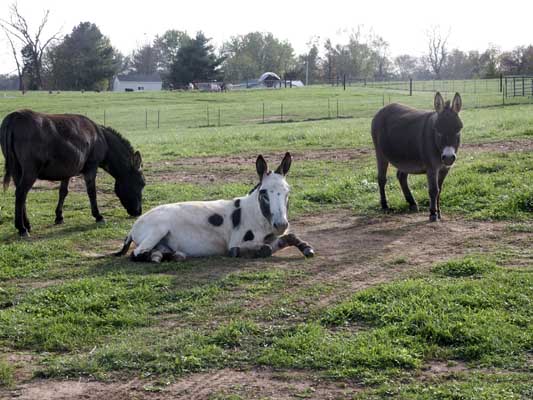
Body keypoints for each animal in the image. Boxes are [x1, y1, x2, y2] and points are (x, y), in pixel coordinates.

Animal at [0, 109, 145, 236]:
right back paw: (22, 228)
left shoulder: (67, 170)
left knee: (22, 196)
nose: (138, 212)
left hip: (17, 170)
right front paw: (98, 216)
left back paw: (27, 225)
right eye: (141, 183)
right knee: (21, 193)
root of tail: (13, 117)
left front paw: (59, 217)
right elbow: (92, 192)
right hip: (30, 171)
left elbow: (63, 192)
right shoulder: (91, 167)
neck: (101, 139)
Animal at [370, 92, 462, 220]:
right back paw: (385, 206)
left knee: (401, 176)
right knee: (382, 179)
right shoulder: (431, 168)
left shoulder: (445, 169)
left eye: (458, 130)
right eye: (437, 130)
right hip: (380, 153)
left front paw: (439, 212)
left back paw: (412, 203)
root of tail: (382, 109)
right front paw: (433, 213)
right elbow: (433, 190)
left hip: (405, 159)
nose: (448, 158)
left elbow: (440, 189)